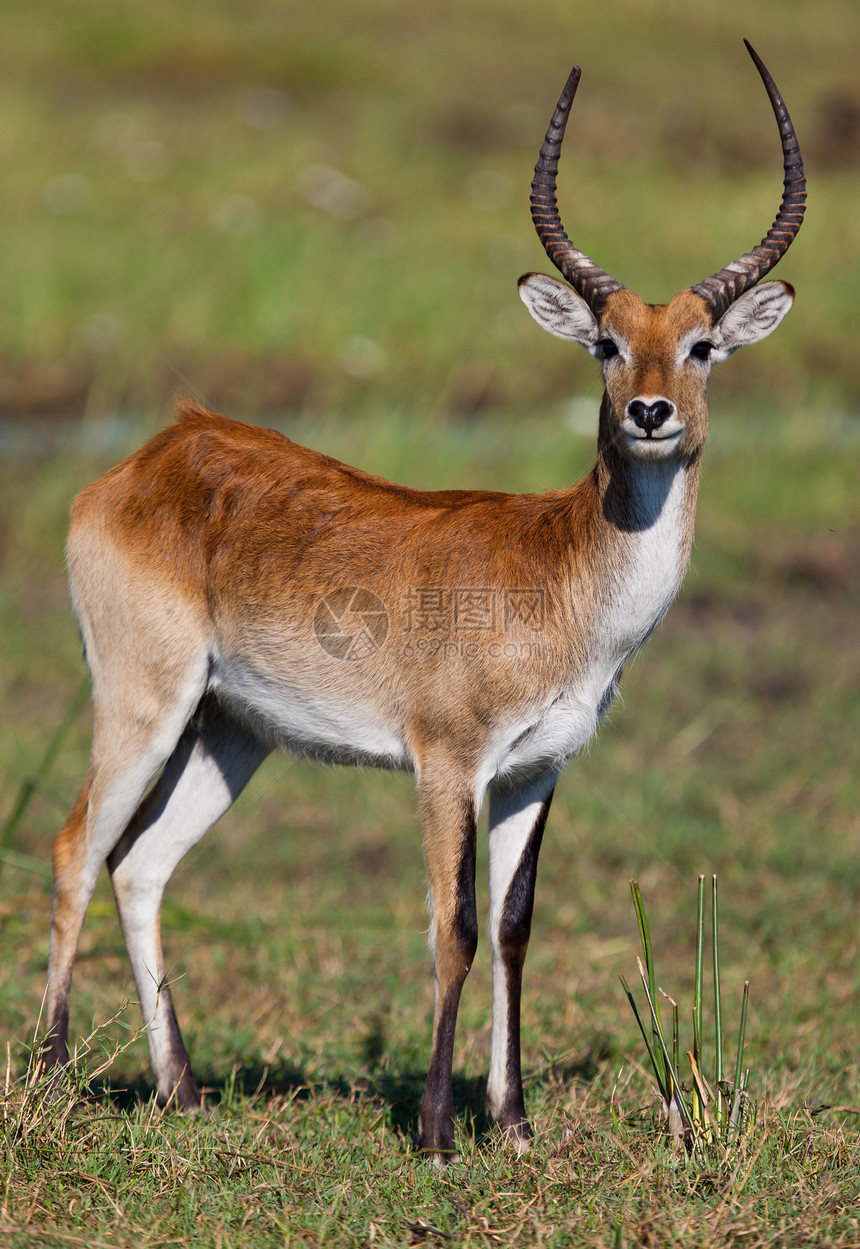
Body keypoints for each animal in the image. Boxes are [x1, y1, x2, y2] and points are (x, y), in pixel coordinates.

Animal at [40, 41, 803, 1169]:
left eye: (702, 343)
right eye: (605, 342)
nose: (650, 412)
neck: (561, 572)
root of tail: (158, 449)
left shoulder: (536, 770)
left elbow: (514, 926)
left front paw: (515, 1124)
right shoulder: (448, 763)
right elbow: (452, 926)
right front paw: (441, 1133)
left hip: (231, 731)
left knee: (142, 865)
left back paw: (181, 1091)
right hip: (145, 701)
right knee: (77, 847)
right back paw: (49, 1082)